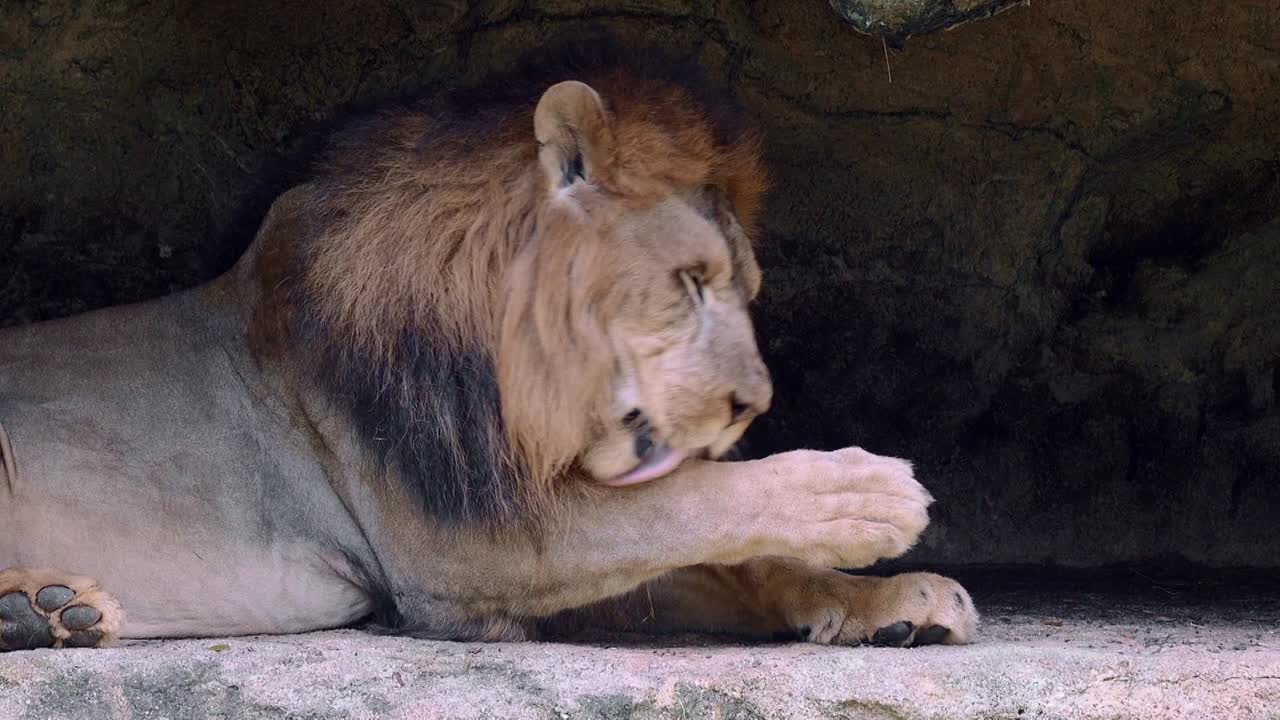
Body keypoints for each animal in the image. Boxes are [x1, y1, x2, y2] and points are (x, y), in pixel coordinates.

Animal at [2, 40, 977, 650]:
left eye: (746, 288)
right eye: (690, 280)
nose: (752, 406)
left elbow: (735, 559)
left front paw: (897, 598)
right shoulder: (459, 548)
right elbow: (695, 505)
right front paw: (861, 495)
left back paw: (45, 613)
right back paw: (40, 611)